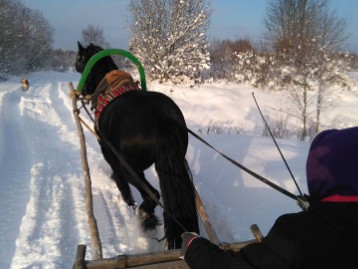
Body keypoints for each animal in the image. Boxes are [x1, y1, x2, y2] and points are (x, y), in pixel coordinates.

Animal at [74, 42, 200, 249]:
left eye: (79, 60)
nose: (83, 91)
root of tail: (161, 118)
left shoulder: (112, 158)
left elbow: (123, 186)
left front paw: (129, 204)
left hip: (131, 167)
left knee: (151, 193)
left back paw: (145, 218)